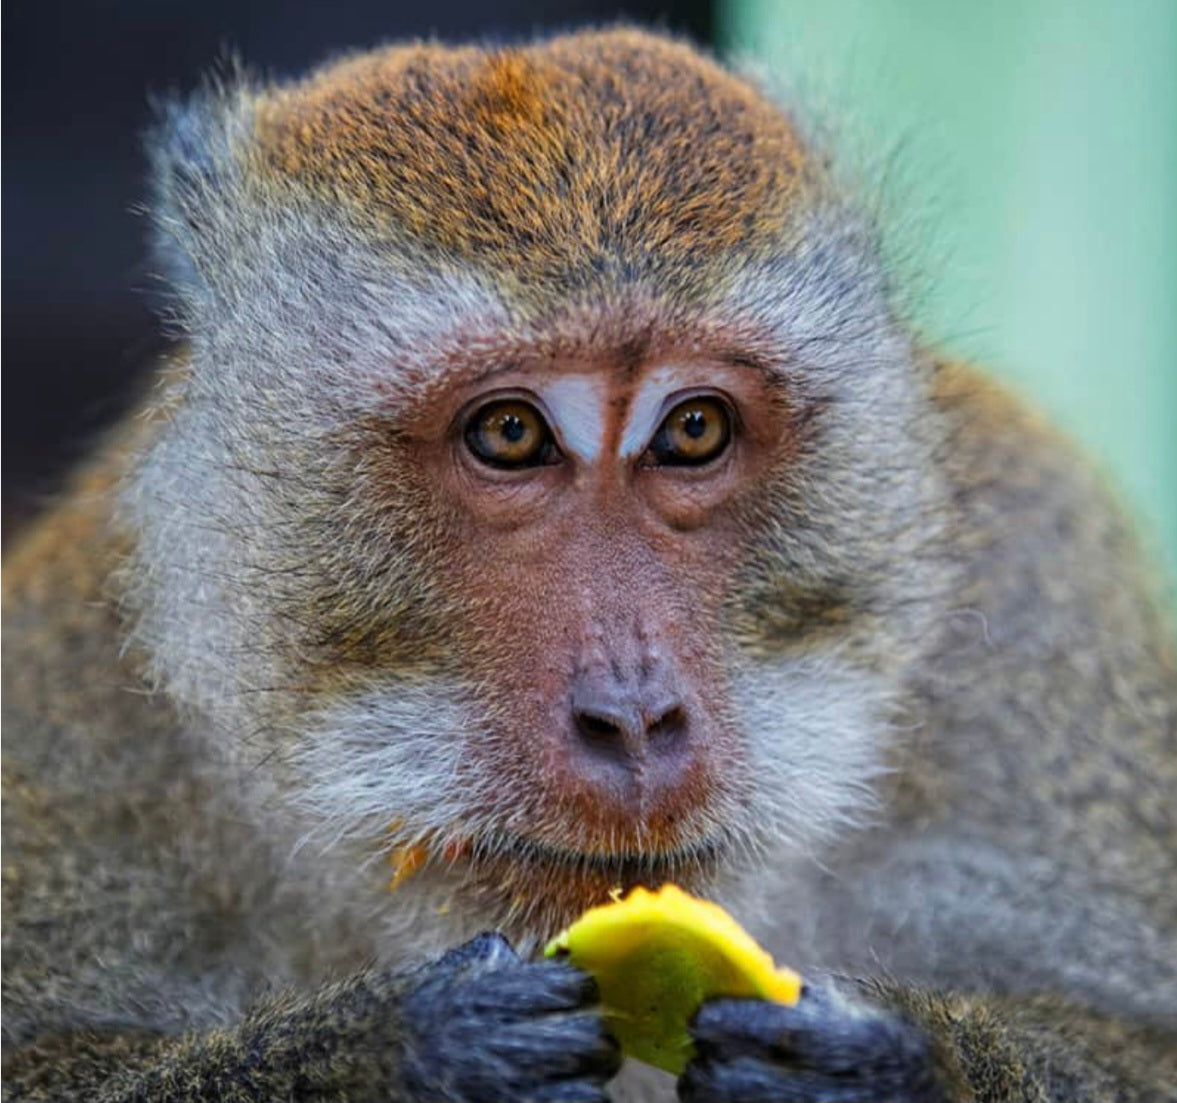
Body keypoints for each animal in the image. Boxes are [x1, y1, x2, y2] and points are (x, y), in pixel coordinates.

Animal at [3, 24, 1176, 1103]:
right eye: (510, 433)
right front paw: (398, 1053)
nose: (634, 717)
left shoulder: (1042, 574)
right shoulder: (77, 702)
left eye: (692, 429)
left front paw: (883, 1065)